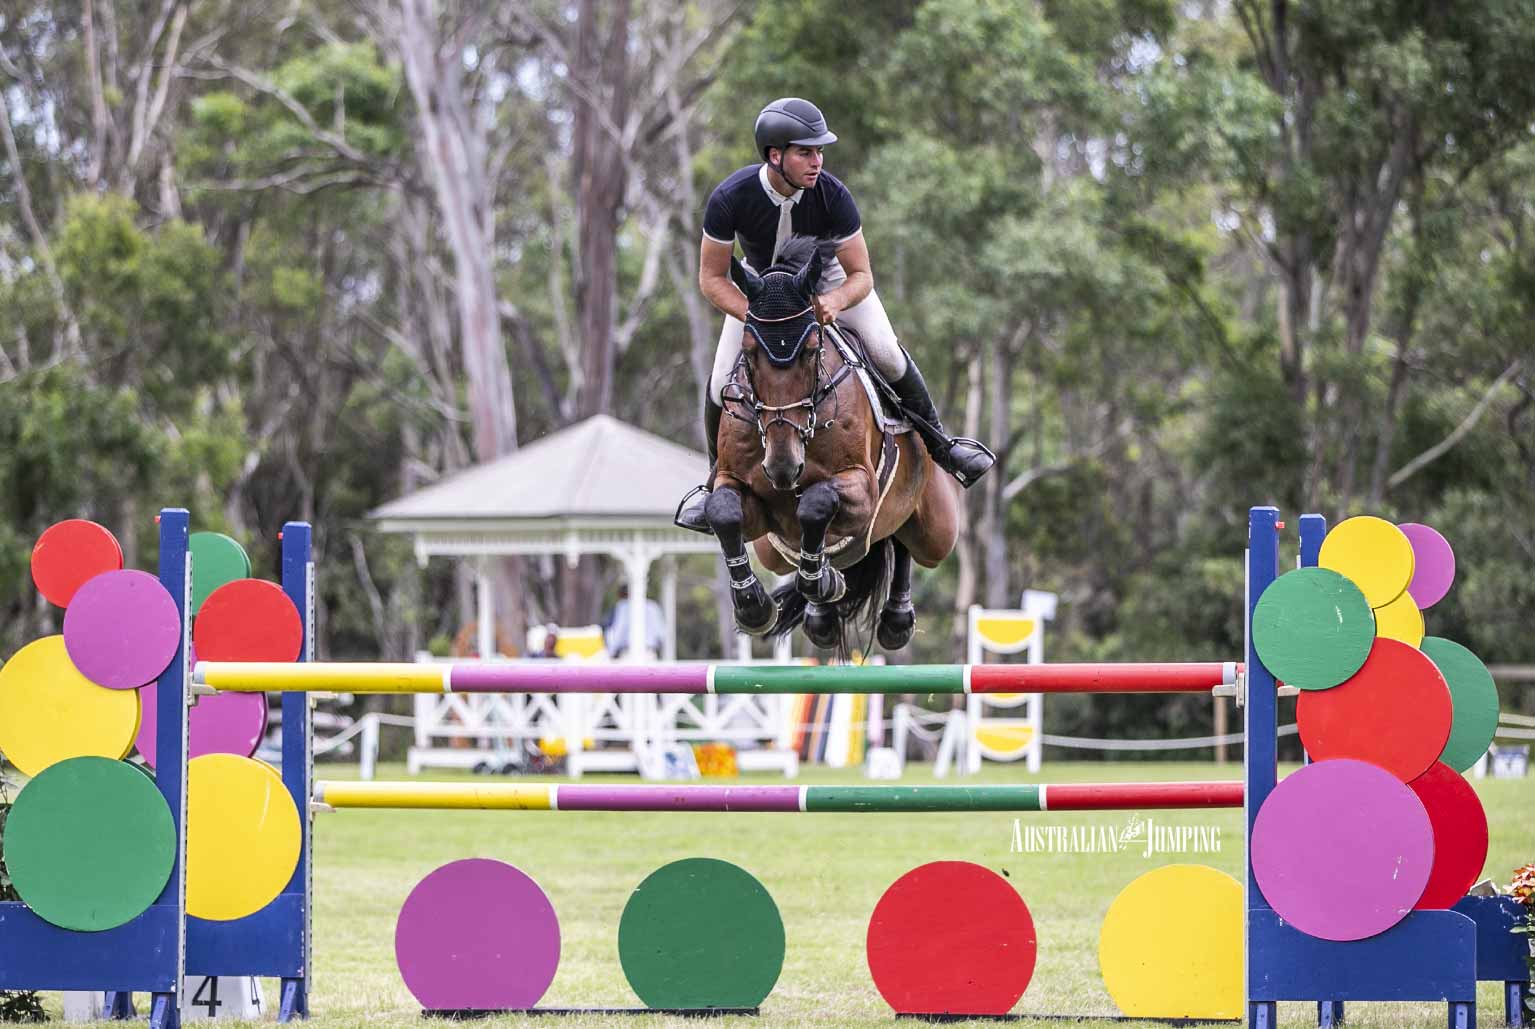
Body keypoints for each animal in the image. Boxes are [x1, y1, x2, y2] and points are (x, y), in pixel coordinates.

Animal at [703, 238, 957, 648]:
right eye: (750, 353)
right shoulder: (739, 488)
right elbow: (723, 511)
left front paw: (819, 580)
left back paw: (896, 619)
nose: (783, 466)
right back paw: (821, 614)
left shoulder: (863, 487)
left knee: (903, 537)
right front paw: (754, 606)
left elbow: (816, 502)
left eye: (810, 350)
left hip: (938, 531)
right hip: (771, 552)